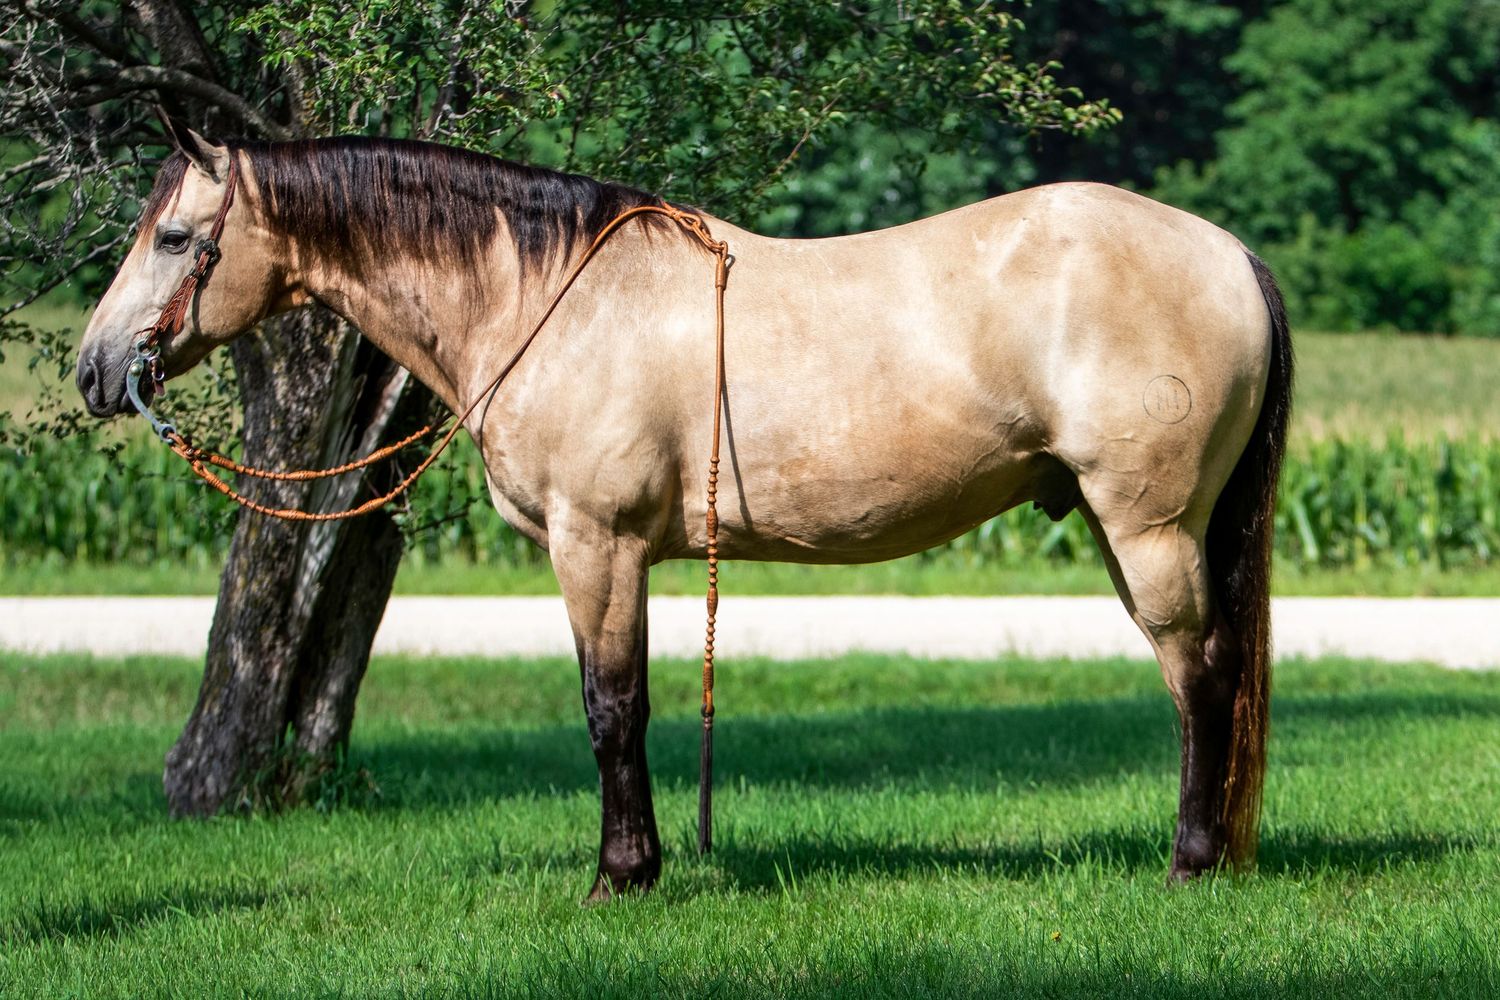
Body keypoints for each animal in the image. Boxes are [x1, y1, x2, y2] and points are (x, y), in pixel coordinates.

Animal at [77, 125, 1292, 901]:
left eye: (175, 238)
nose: (95, 370)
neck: (545, 294)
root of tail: (1228, 251)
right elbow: (629, 706)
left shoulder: (597, 545)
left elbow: (612, 709)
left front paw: (622, 876)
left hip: (1146, 529)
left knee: (1203, 679)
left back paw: (1192, 864)